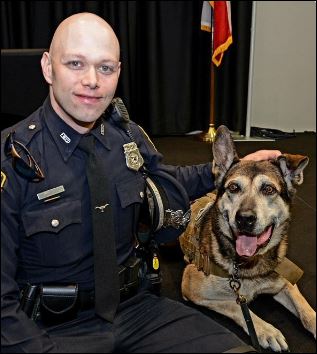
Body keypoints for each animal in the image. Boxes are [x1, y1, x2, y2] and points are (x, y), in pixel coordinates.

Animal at [179, 126, 314, 352]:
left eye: (268, 189)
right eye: (234, 188)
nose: (244, 219)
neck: (250, 264)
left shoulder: (285, 279)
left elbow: (305, 309)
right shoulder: (191, 285)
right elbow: (234, 304)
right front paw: (266, 330)